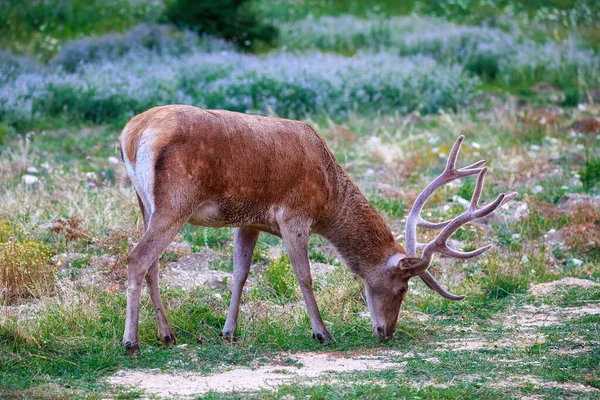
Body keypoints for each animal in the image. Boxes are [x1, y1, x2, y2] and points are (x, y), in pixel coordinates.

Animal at [119, 104, 516, 354]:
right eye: (403, 288)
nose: (387, 332)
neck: (328, 196)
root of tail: (131, 134)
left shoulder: (248, 220)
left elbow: (241, 273)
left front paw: (229, 331)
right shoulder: (294, 214)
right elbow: (305, 276)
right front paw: (323, 332)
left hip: (145, 203)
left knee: (152, 264)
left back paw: (167, 335)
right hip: (176, 200)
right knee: (137, 258)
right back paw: (131, 342)